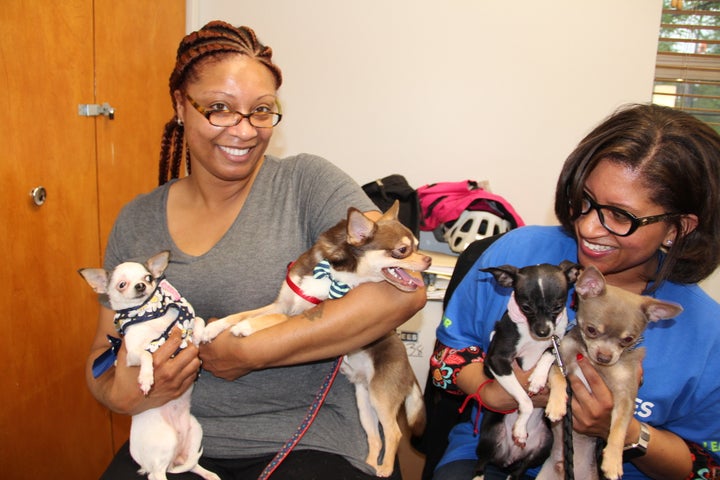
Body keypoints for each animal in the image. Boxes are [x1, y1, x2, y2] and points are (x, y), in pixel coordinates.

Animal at [536, 266, 684, 480]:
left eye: (628, 340)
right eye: (591, 330)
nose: (605, 357)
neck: (593, 362)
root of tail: (564, 466)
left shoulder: (625, 398)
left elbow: (619, 429)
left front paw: (613, 461)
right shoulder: (563, 361)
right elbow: (557, 376)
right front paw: (556, 404)